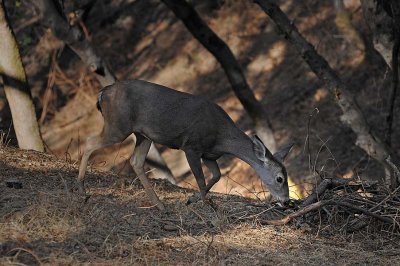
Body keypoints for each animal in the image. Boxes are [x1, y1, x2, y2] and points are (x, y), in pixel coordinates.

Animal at [77, 80, 294, 211]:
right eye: (280, 178)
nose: (286, 201)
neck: (221, 136)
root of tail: (102, 93)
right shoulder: (191, 146)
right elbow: (200, 178)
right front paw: (206, 204)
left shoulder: (209, 154)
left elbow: (216, 176)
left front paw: (194, 200)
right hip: (119, 125)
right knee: (90, 141)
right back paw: (81, 187)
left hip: (143, 134)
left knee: (136, 161)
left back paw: (160, 205)